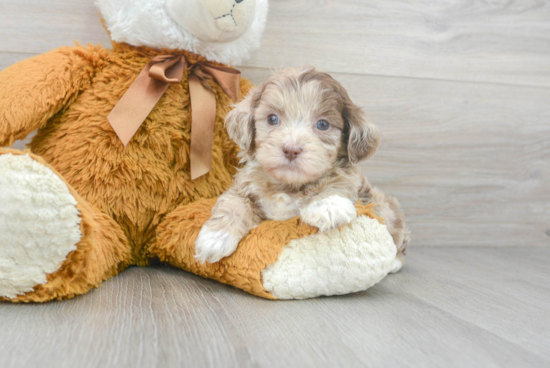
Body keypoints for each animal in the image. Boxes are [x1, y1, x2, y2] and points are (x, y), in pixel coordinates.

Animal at [194, 65, 410, 270]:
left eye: (322, 124)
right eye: (272, 119)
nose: (291, 149)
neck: (288, 185)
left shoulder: (349, 178)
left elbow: (339, 182)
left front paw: (328, 205)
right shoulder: (242, 187)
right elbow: (234, 203)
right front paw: (215, 237)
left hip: (386, 208)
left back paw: (394, 262)